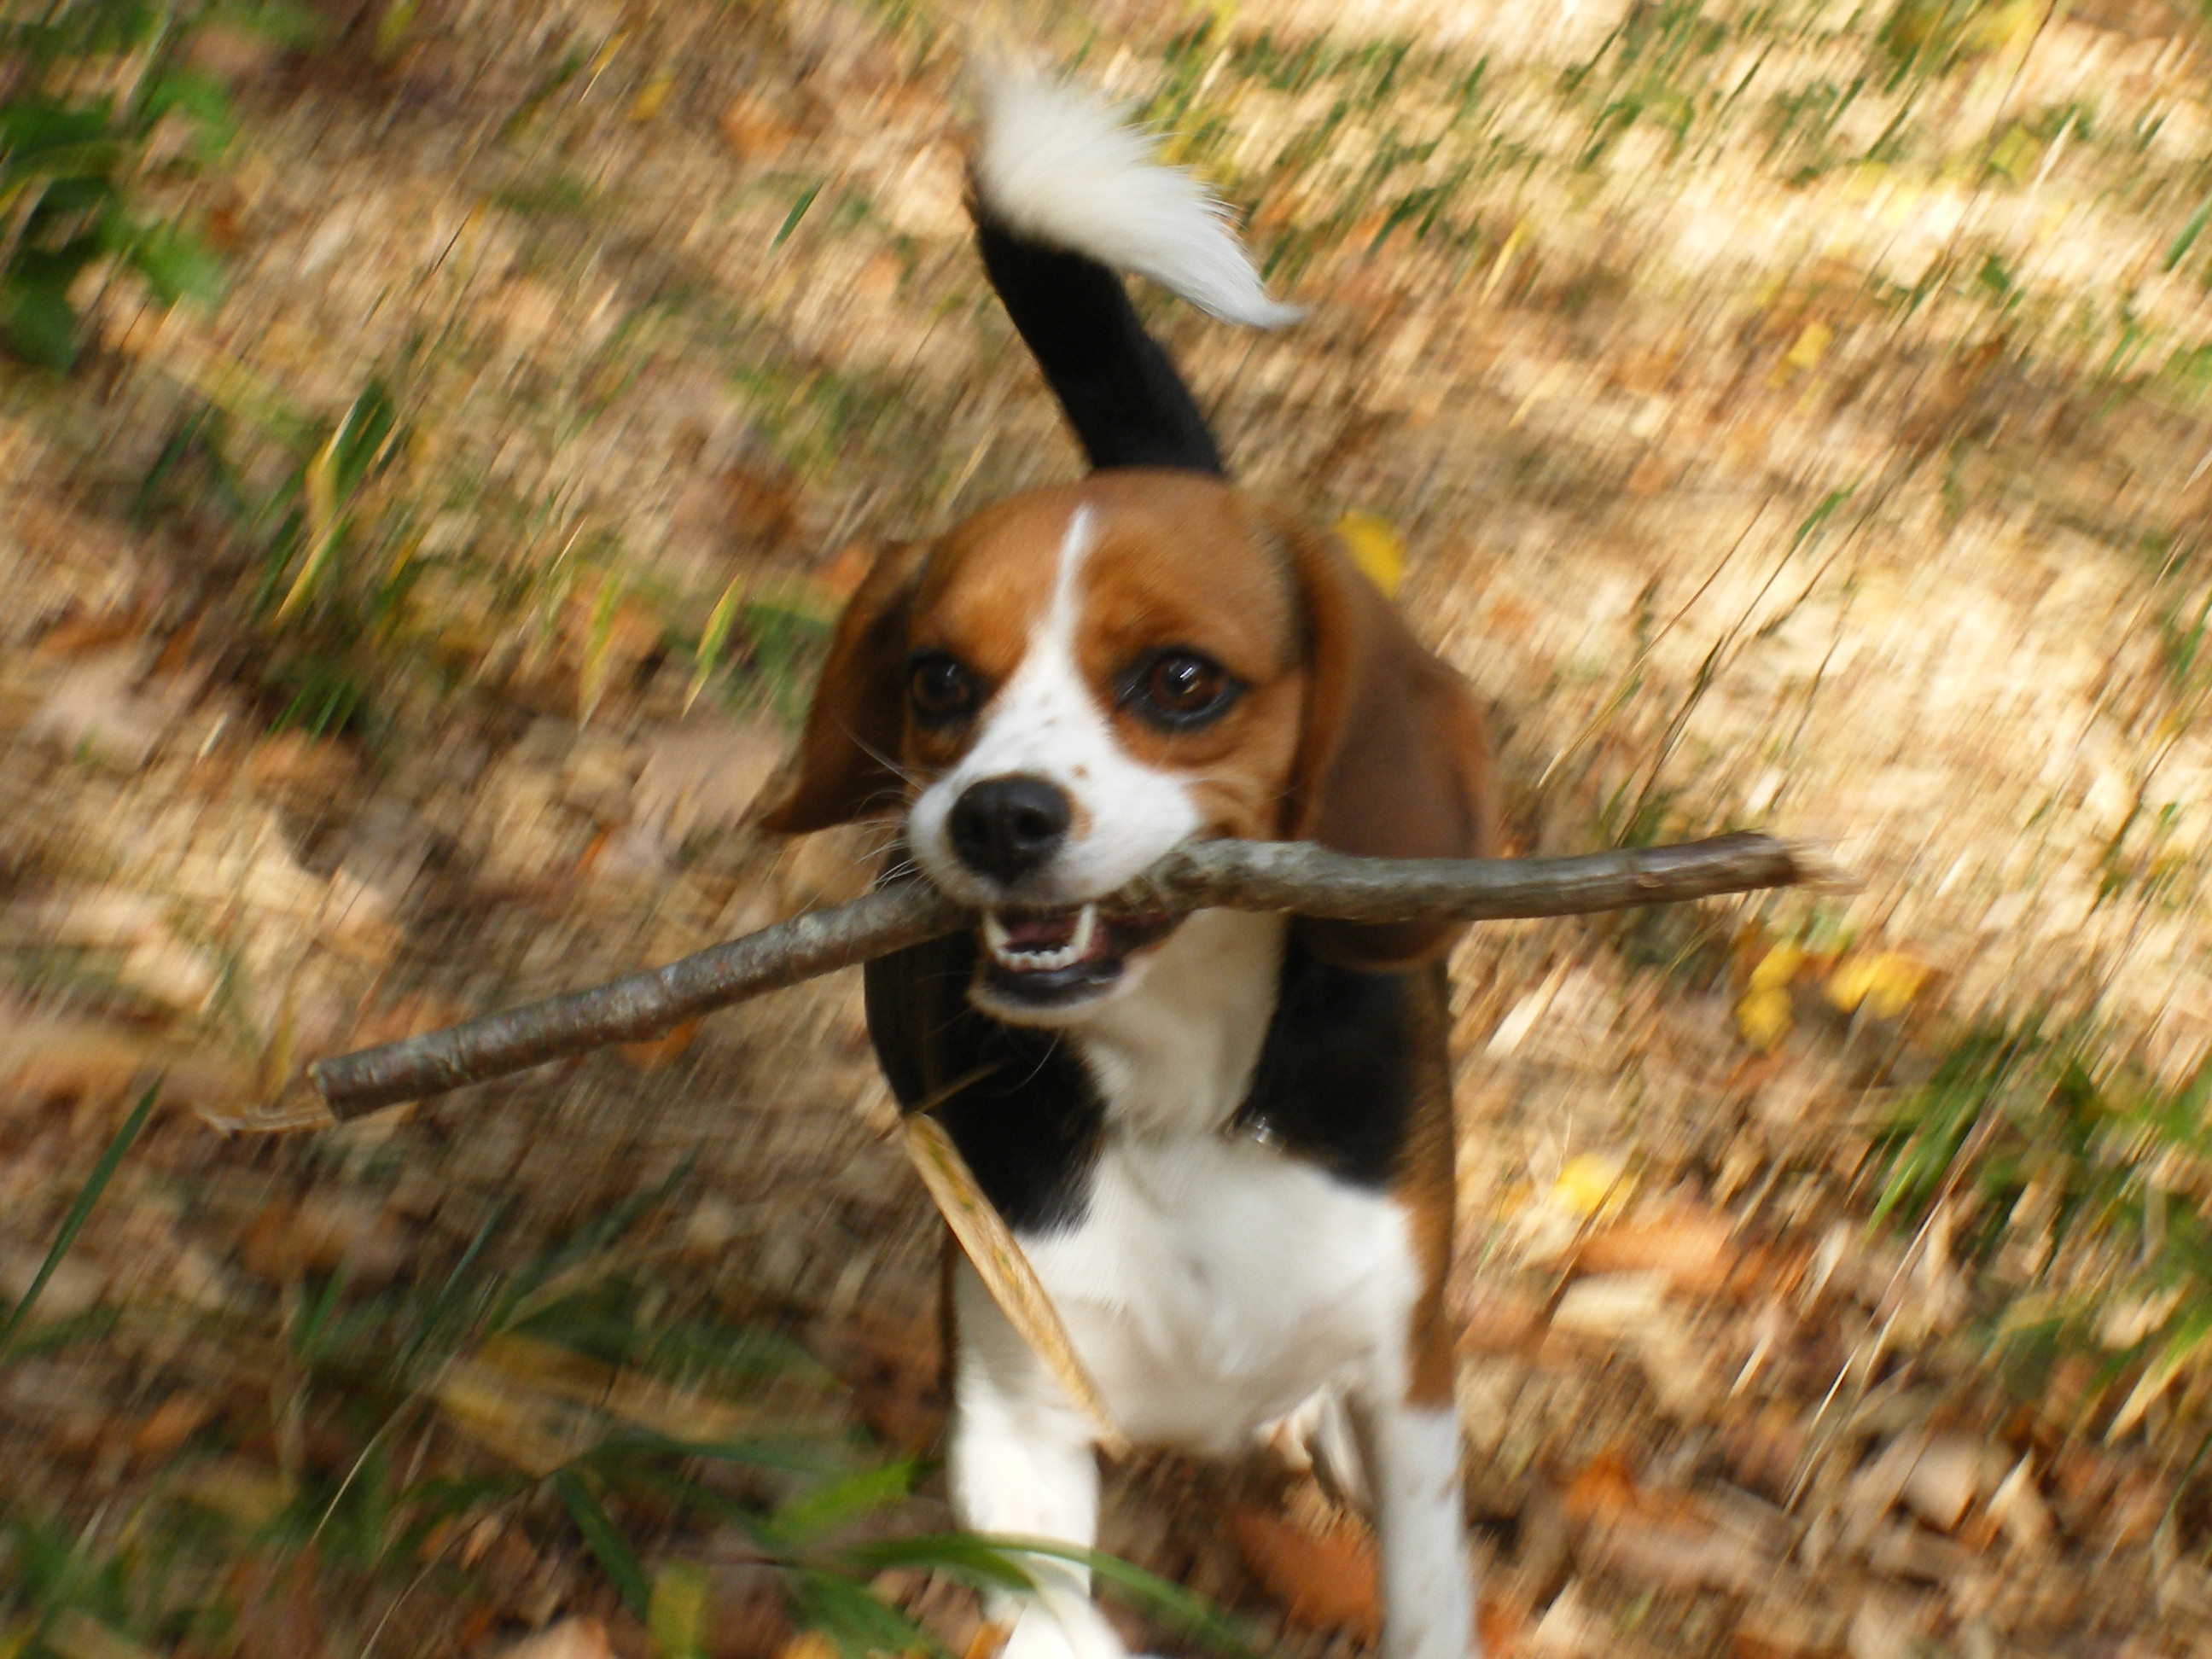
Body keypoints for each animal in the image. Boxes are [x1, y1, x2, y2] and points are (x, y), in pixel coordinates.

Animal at [760, 78, 1504, 1659]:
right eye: (936, 678)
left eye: (1181, 681)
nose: (996, 818)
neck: (1178, 1100)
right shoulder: (1013, 1399)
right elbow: (1062, 1616)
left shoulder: (1408, 1377)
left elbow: (1426, 1589)